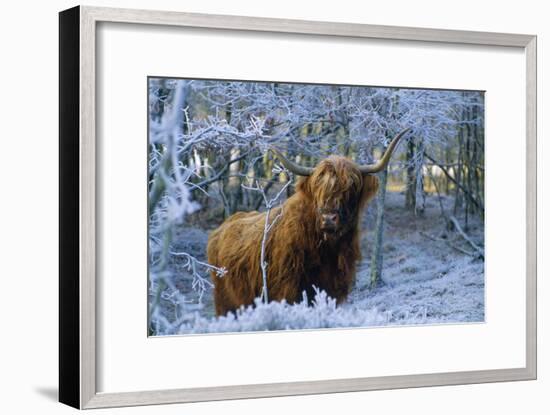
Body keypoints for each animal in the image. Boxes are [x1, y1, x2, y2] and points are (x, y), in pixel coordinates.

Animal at [208, 128, 410, 316]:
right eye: (317, 187)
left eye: (351, 186)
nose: (329, 219)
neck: (326, 250)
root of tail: (221, 228)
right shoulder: (287, 290)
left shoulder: (333, 290)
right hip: (226, 303)